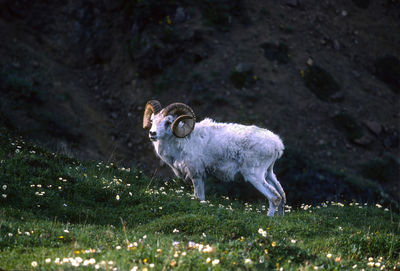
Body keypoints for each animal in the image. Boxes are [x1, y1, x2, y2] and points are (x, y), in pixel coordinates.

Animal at [142, 100, 286, 217]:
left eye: (168, 122)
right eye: (152, 121)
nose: (152, 133)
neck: (181, 144)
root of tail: (277, 144)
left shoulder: (196, 175)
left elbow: (199, 198)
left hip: (254, 176)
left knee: (274, 197)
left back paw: (269, 218)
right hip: (268, 174)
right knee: (281, 194)